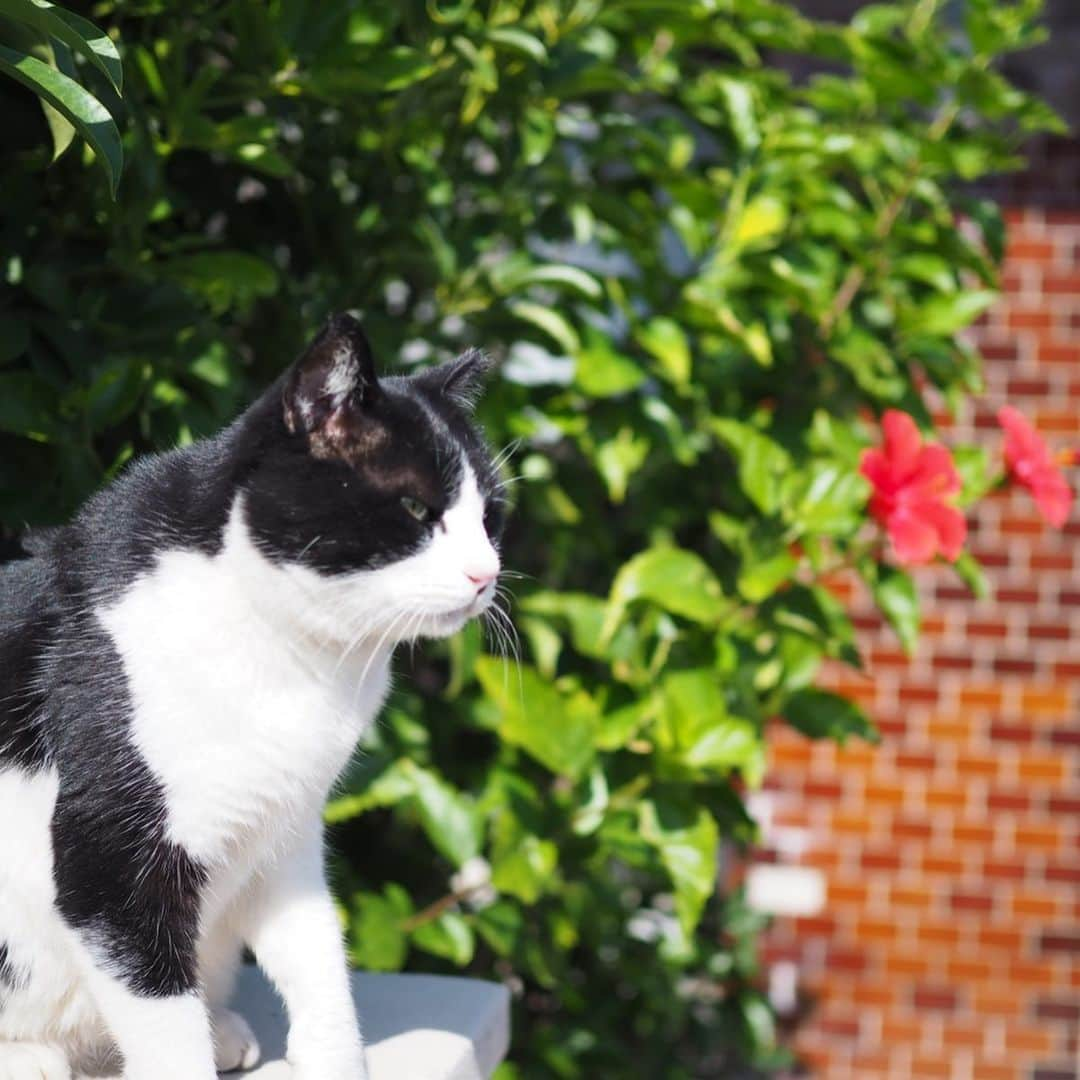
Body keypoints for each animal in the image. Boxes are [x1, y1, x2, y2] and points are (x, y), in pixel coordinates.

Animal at [0, 315, 505, 1080]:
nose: (488, 573)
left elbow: (321, 967)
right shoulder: (111, 865)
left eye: (491, 518)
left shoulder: (288, 835)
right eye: (418, 510)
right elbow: (163, 1024)